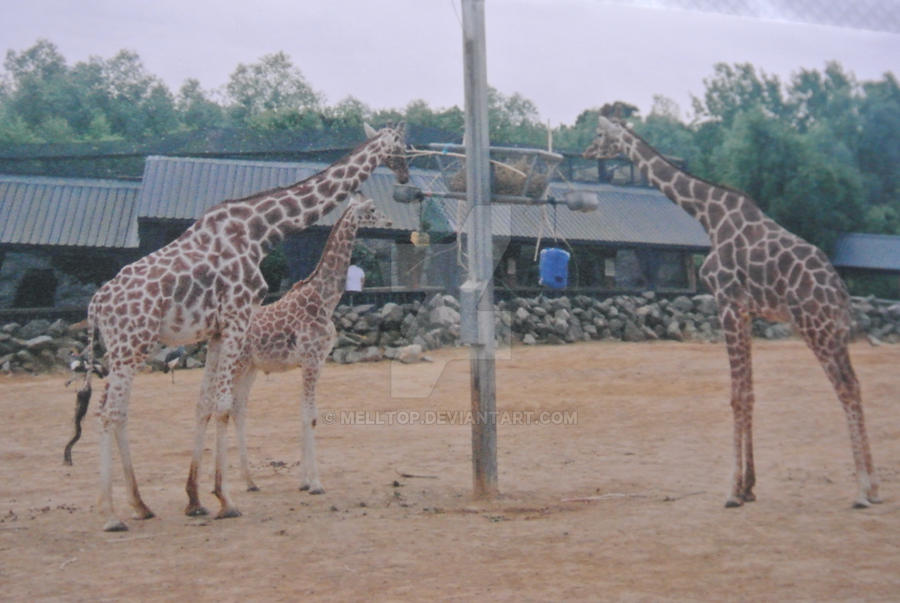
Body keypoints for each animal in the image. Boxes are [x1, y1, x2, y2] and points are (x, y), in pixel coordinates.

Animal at [70, 125, 408, 532]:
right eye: (403, 146)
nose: (406, 179)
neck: (260, 230)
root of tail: (96, 304)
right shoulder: (237, 318)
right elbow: (226, 407)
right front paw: (226, 499)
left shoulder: (219, 330)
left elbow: (204, 405)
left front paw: (195, 499)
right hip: (129, 346)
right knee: (109, 413)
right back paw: (111, 514)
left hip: (126, 350)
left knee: (116, 412)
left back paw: (141, 505)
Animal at [584, 114, 880, 510]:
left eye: (600, 134)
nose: (587, 151)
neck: (708, 215)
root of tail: (839, 291)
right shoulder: (746, 311)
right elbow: (749, 393)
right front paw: (749, 487)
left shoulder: (727, 301)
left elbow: (736, 395)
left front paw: (732, 491)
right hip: (834, 330)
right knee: (856, 384)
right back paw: (873, 488)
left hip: (814, 325)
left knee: (846, 387)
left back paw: (861, 491)